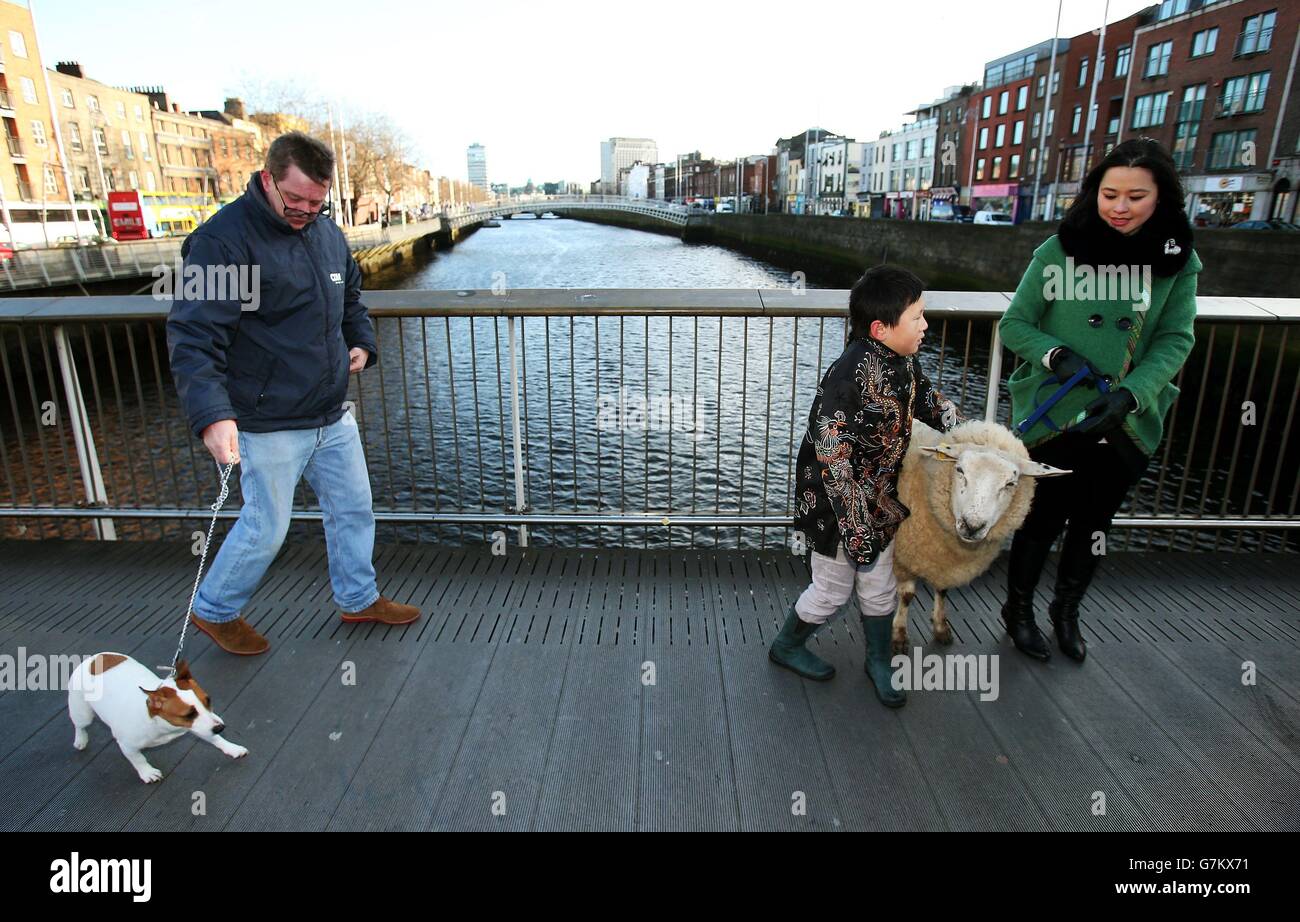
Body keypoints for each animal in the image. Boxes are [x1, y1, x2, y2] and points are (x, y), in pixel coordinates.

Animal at [67, 650, 245, 780]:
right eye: (188, 714)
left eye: (208, 700)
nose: (221, 727)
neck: (161, 725)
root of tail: (92, 659)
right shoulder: (127, 746)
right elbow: (138, 759)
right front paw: (148, 773)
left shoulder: (200, 727)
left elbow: (216, 739)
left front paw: (232, 748)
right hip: (82, 712)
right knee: (79, 725)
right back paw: (80, 739)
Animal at [889, 416, 1071, 655]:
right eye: (959, 470)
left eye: (1010, 484)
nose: (972, 526)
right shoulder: (904, 556)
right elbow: (907, 596)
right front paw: (900, 635)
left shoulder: (944, 561)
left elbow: (943, 590)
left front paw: (940, 626)